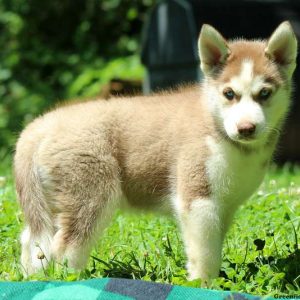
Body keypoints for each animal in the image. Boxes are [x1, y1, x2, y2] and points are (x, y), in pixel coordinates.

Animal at [14, 21, 298, 282]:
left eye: (264, 93)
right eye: (229, 94)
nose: (246, 128)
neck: (215, 125)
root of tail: (40, 125)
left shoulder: (224, 206)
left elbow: (215, 245)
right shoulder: (197, 199)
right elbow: (205, 252)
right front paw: (204, 284)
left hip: (50, 202)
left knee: (34, 241)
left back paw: (32, 278)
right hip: (91, 194)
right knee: (66, 246)